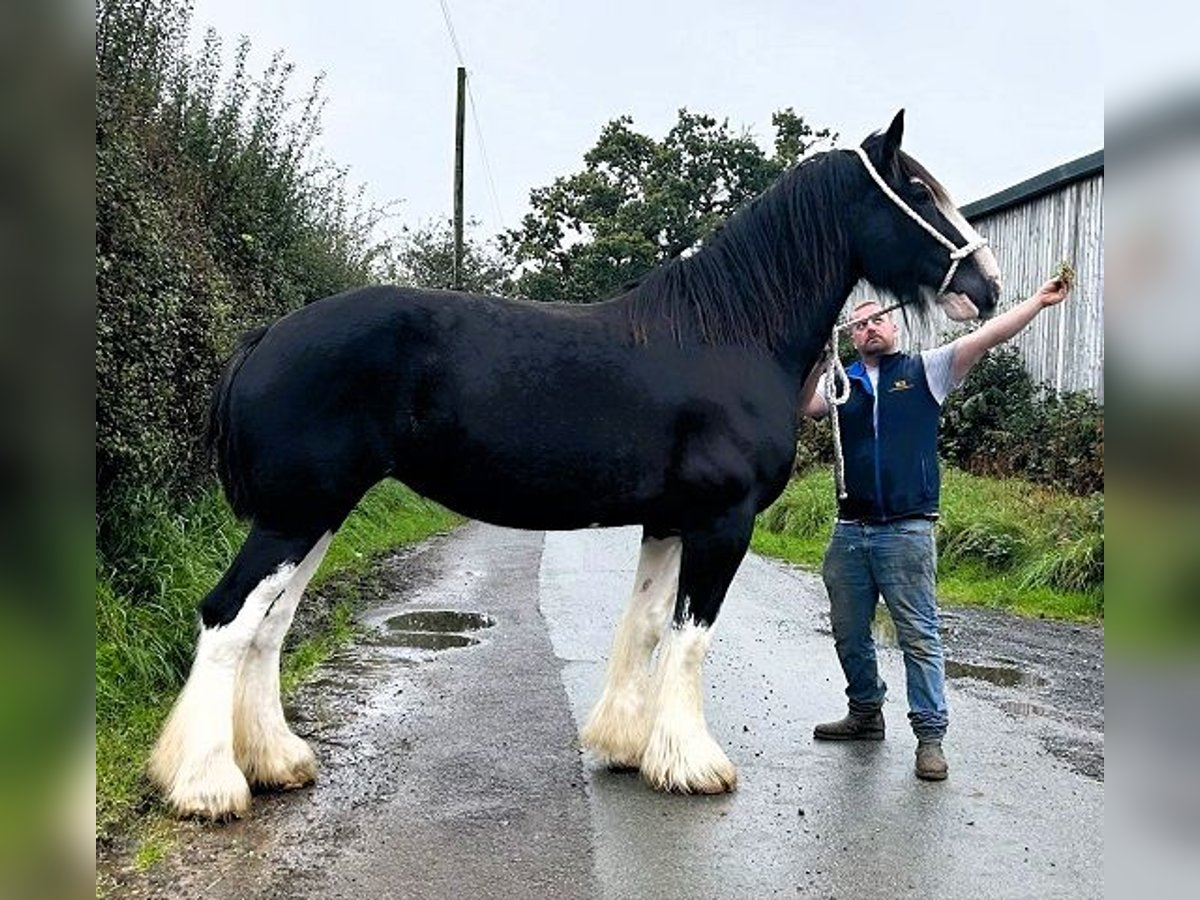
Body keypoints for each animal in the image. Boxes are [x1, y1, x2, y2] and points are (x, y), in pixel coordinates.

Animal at [150, 111, 1003, 816]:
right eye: (918, 192)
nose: (988, 287)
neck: (728, 333)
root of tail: (268, 336)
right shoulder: (721, 522)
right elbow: (691, 634)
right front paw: (693, 766)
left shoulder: (669, 522)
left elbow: (648, 623)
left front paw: (627, 747)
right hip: (296, 515)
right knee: (229, 617)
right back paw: (208, 787)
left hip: (315, 514)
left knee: (268, 626)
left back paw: (276, 762)